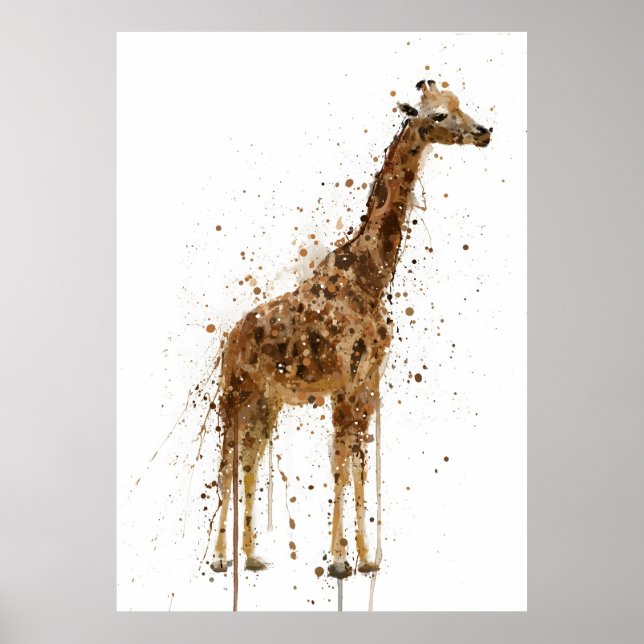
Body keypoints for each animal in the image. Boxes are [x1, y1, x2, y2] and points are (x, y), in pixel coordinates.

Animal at [209, 79, 491, 596]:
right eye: (438, 116)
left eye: (461, 104)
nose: (485, 132)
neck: (371, 276)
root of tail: (230, 338)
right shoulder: (345, 383)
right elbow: (340, 462)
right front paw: (340, 561)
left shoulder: (367, 385)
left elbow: (360, 460)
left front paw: (367, 559)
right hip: (234, 393)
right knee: (226, 461)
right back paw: (220, 560)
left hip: (267, 400)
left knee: (251, 460)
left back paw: (253, 556)